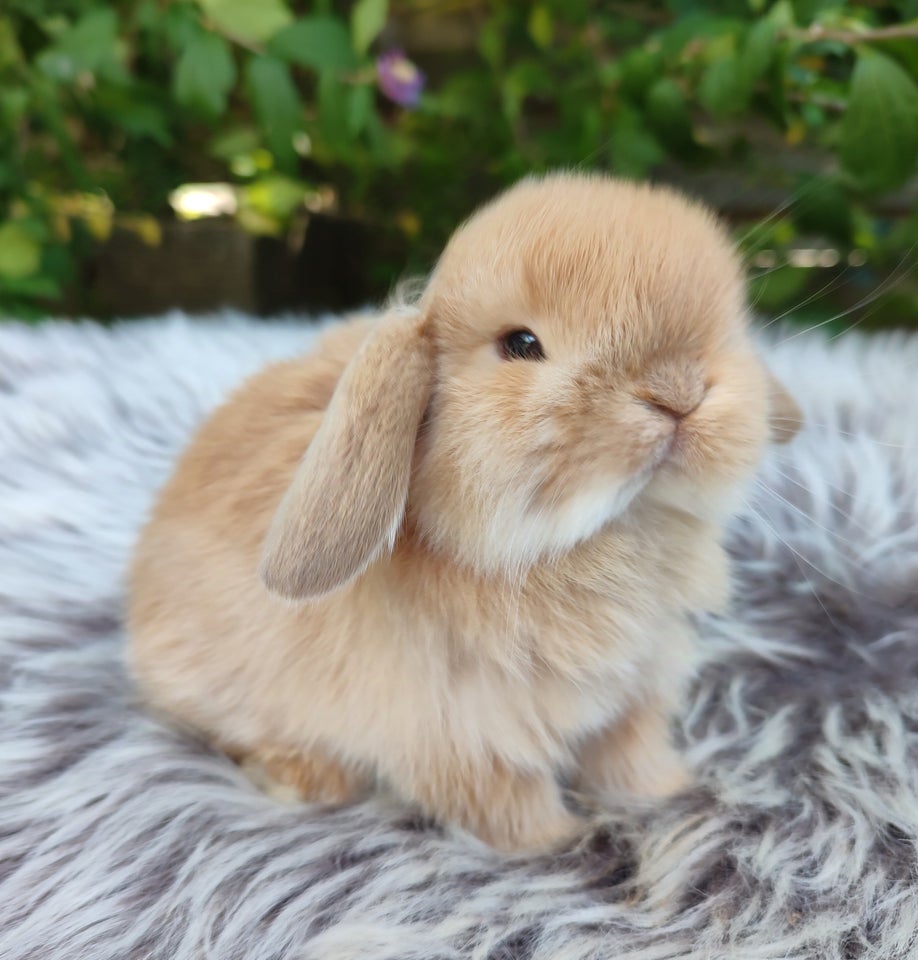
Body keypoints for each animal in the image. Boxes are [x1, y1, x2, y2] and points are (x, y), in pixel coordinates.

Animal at [126, 169, 800, 852]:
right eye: (521, 344)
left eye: (722, 333)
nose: (678, 395)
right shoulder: (465, 742)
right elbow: (509, 805)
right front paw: (562, 841)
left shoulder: (632, 697)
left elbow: (629, 758)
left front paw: (669, 794)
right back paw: (302, 776)